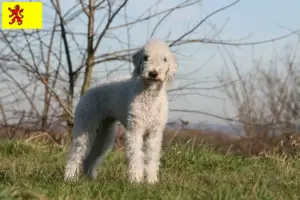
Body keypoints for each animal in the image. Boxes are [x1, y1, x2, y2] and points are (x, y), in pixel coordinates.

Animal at [62, 38, 176, 183]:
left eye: (165, 59)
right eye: (146, 57)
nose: (153, 73)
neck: (149, 94)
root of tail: (88, 91)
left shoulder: (154, 133)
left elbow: (152, 158)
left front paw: (151, 181)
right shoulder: (135, 130)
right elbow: (136, 156)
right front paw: (136, 180)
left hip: (104, 133)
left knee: (90, 158)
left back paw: (91, 179)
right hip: (85, 125)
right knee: (76, 153)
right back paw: (69, 178)